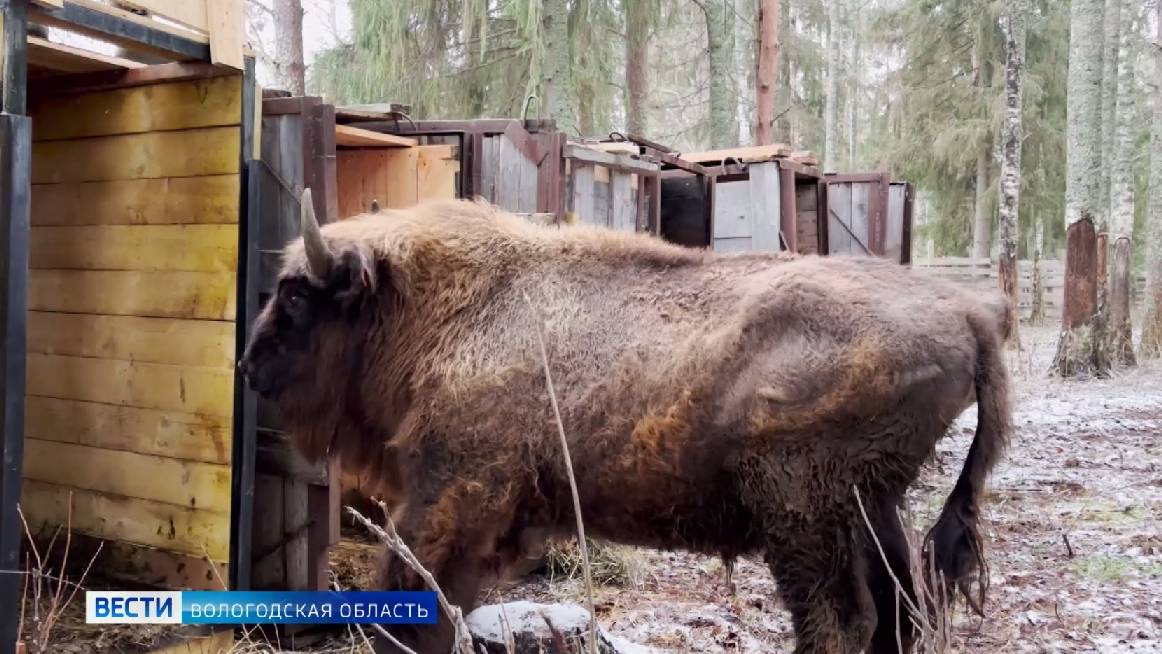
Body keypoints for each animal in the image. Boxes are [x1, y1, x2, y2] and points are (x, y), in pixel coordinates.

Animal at [240, 189, 1013, 654]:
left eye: (298, 296)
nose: (249, 365)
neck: (454, 306)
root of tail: (969, 315)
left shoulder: (451, 499)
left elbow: (413, 600)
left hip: (805, 513)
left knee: (842, 621)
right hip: (872, 508)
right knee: (898, 611)